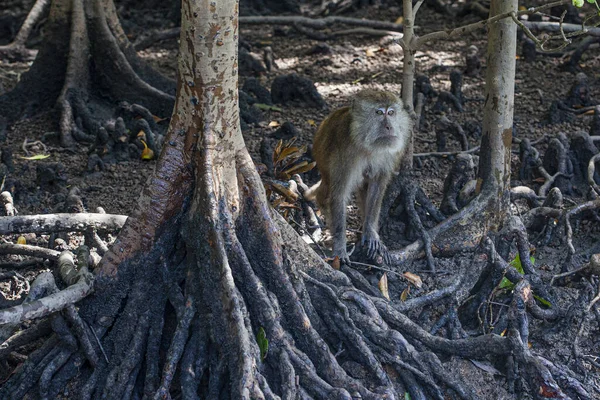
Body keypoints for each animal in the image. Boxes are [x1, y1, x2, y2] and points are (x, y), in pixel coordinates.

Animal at [304, 90, 412, 266]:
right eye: (379, 113)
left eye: (391, 113)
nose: (389, 126)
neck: (367, 145)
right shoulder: (345, 154)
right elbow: (339, 196)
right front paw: (340, 247)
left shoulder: (389, 154)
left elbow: (376, 187)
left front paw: (371, 232)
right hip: (322, 162)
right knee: (326, 191)